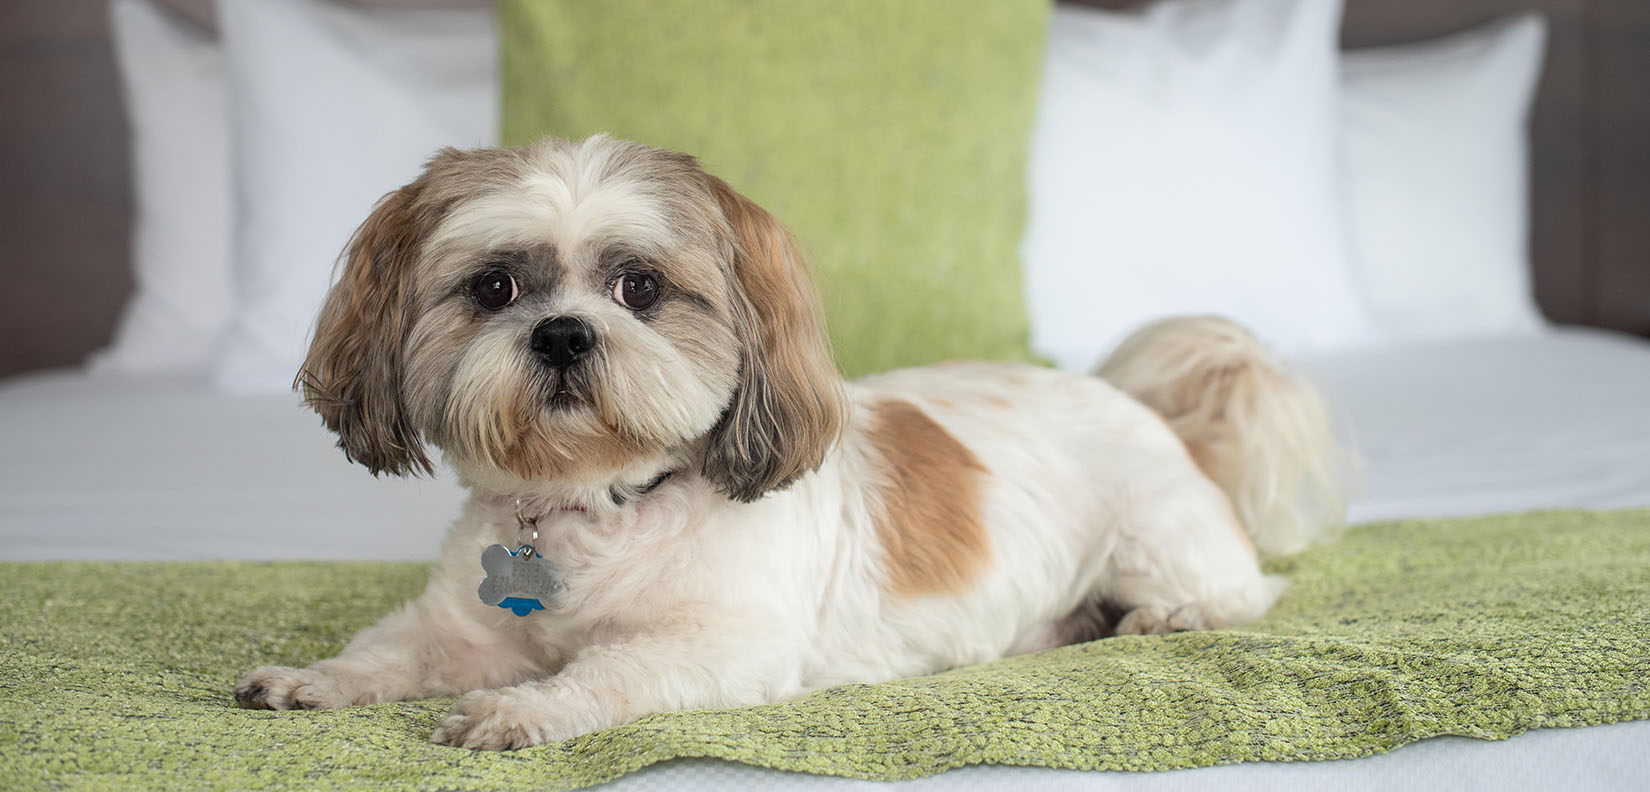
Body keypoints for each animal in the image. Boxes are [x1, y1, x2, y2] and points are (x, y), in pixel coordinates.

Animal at [229, 134, 1339, 749]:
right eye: (494, 287)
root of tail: (1143, 407)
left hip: (1155, 539)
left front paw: (521, 710)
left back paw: (1174, 616)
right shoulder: (463, 626)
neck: (600, 503)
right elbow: (391, 649)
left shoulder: (725, 646)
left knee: (1243, 592)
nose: (563, 332)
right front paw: (314, 679)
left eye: (639, 286)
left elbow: (605, 674)